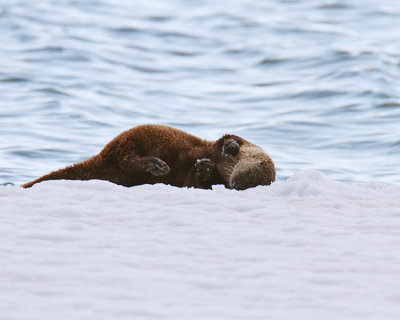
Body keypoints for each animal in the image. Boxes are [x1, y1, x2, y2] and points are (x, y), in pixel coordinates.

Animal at [21, 124, 276, 190]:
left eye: (254, 181)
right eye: (256, 166)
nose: (237, 184)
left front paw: (205, 167)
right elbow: (226, 138)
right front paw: (229, 147)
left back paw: (157, 168)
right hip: (131, 139)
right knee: (127, 156)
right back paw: (158, 165)